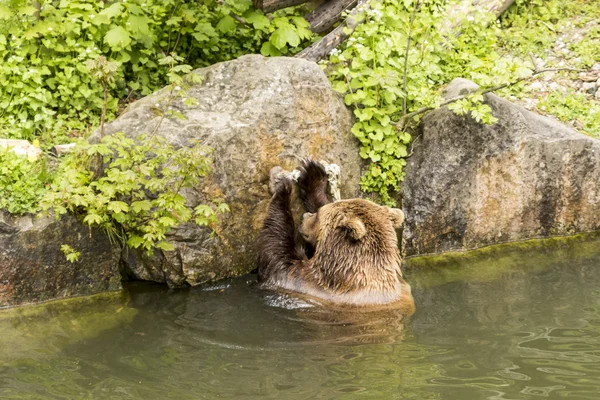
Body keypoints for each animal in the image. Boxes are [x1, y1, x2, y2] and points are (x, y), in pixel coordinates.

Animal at [258, 159, 418, 310]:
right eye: (319, 211)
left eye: (318, 216)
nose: (304, 217)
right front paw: (312, 173)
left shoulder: (308, 284)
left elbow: (276, 250)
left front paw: (283, 184)